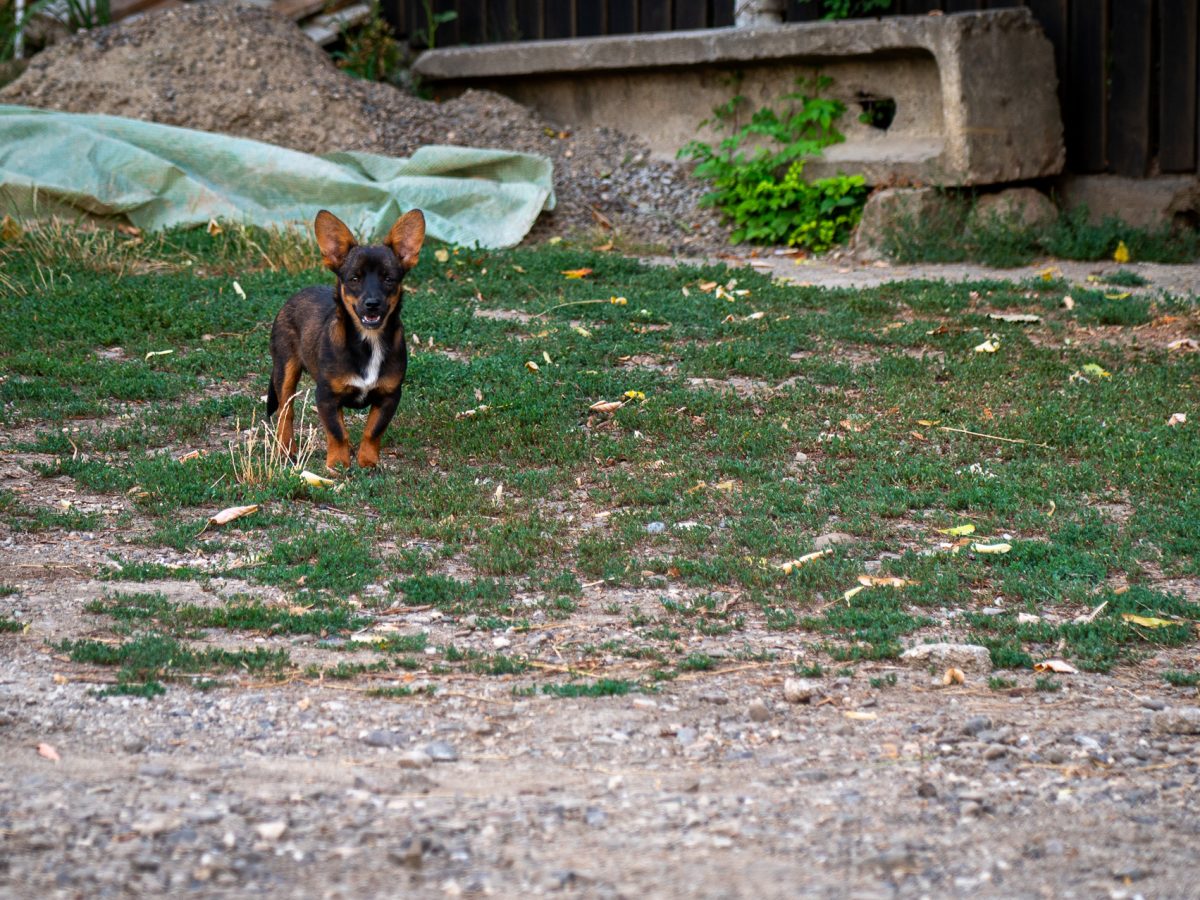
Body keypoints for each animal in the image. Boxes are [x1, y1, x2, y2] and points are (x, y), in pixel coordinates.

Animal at [268, 207, 427, 468]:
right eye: (354, 278)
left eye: (389, 279)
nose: (372, 304)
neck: (369, 340)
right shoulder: (326, 396)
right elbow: (337, 432)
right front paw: (337, 464)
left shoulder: (389, 396)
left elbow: (373, 430)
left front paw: (368, 461)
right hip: (285, 368)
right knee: (285, 411)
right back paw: (286, 449)